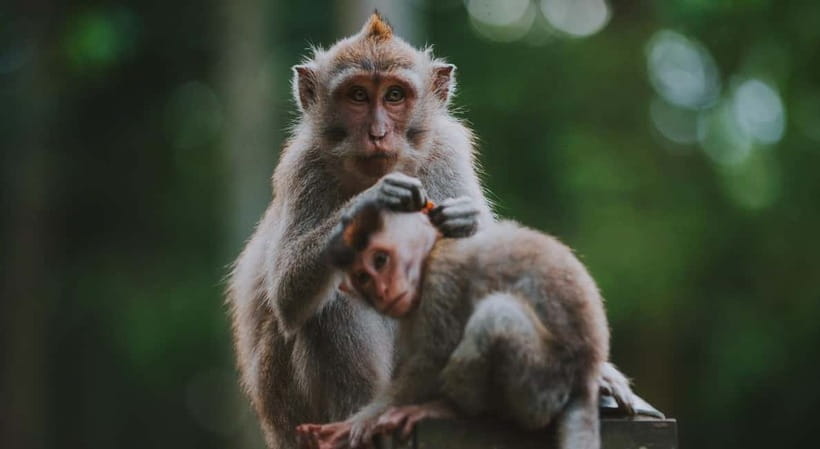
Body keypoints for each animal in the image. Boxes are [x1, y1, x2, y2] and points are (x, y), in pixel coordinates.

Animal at [298, 199, 609, 449]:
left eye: (381, 259)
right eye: (363, 277)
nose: (383, 292)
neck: (432, 252)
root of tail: (585, 376)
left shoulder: (442, 281)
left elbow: (432, 359)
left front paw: (359, 422)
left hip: (543, 387)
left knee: (495, 316)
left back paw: (452, 409)